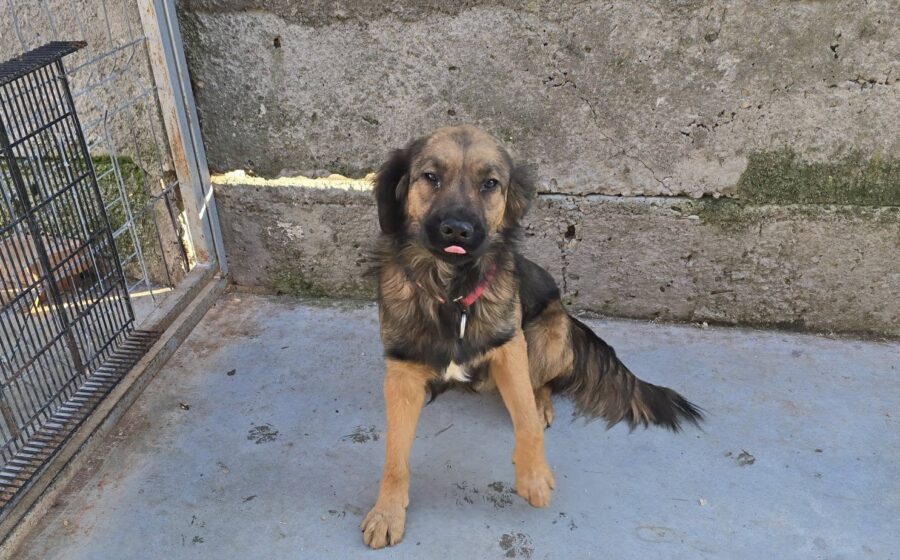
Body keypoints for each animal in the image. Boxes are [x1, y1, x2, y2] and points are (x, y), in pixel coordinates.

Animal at [362, 125, 702, 549]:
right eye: (430, 177)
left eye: (490, 184)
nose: (457, 229)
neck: (453, 290)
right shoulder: (401, 369)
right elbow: (394, 456)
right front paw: (387, 511)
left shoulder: (509, 348)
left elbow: (523, 416)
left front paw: (534, 475)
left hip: (549, 334)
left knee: (542, 383)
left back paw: (542, 402)